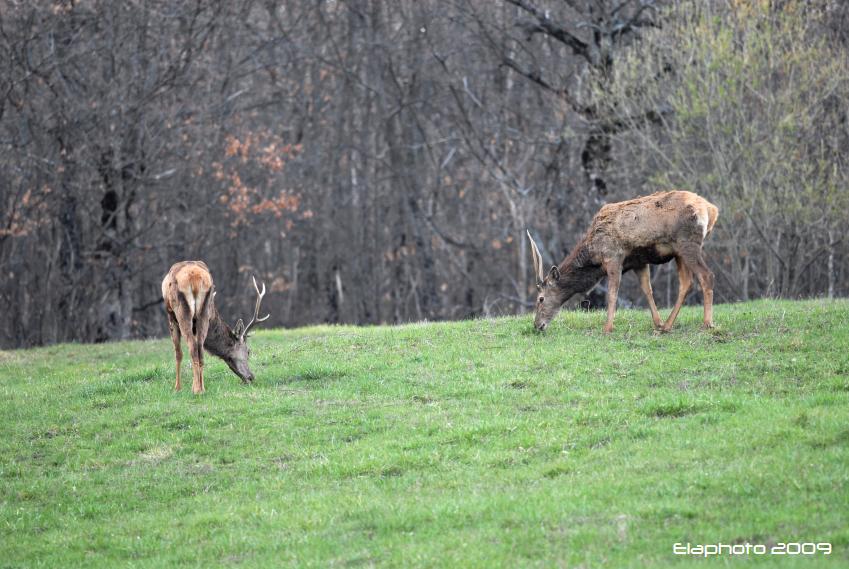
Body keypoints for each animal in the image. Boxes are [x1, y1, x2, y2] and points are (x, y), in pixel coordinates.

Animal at [158, 262, 264, 394]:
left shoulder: (171, 318)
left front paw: (177, 388)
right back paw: (201, 388)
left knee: (193, 348)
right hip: (203, 312)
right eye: (248, 351)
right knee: (200, 349)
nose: (251, 376)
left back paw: (196, 389)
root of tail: (195, 277)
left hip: (181, 311)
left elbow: (178, 354)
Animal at [528, 191, 720, 332]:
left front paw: (607, 328)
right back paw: (666, 325)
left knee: (707, 275)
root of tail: (711, 210)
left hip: (687, 243)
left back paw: (707, 323)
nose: (537, 325)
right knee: (686, 282)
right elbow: (647, 290)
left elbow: (612, 293)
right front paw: (657, 322)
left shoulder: (613, 256)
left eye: (541, 299)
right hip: (678, 251)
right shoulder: (638, 262)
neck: (594, 254)